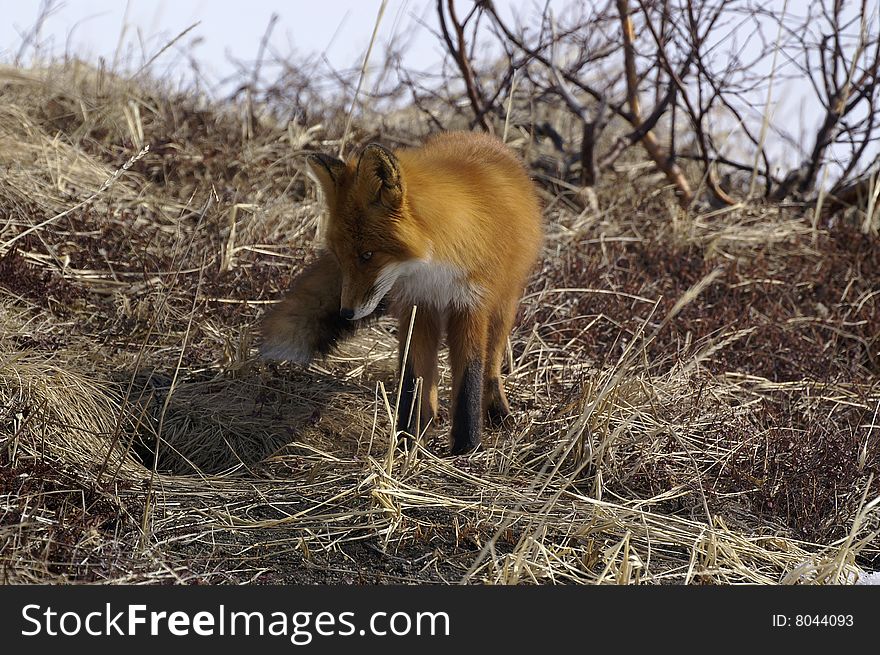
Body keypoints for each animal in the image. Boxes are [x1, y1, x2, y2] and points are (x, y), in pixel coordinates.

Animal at [258, 131, 540, 454]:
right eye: (341, 258)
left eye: (367, 255)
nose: (347, 312)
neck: (432, 266)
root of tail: (480, 136)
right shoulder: (418, 304)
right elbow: (412, 377)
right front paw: (407, 440)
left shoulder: (470, 304)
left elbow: (469, 376)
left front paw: (466, 447)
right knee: (430, 380)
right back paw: (430, 419)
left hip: (504, 305)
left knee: (491, 364)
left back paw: (497, 411)